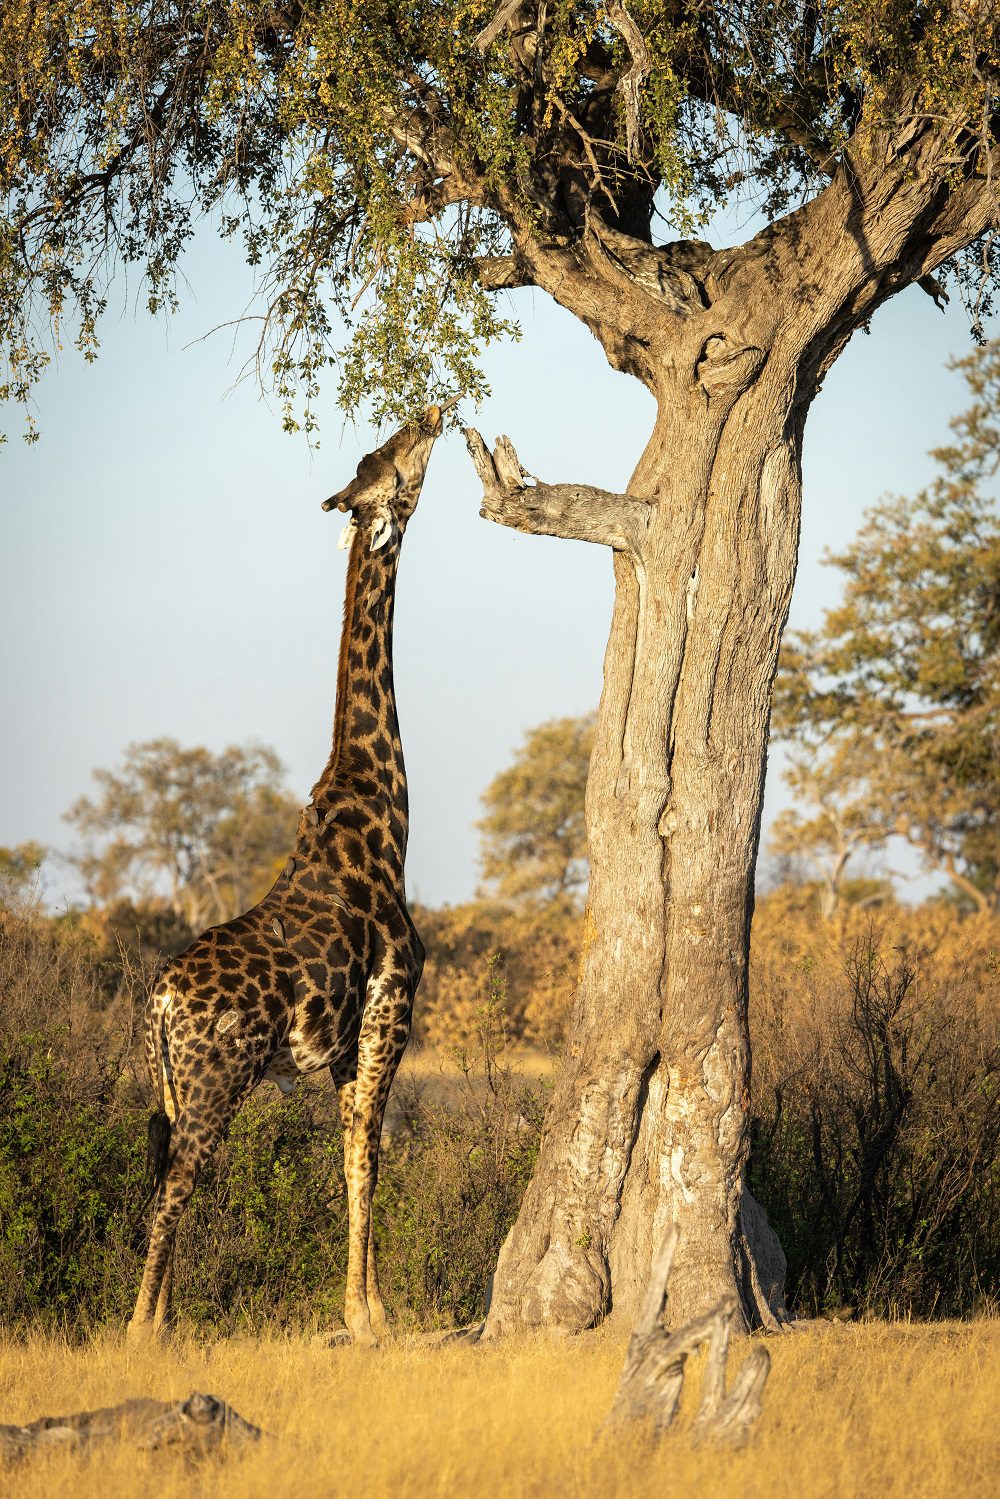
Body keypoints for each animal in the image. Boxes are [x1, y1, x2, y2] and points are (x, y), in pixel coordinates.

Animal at [127, 406, 447, 1347]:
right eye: (395, 462)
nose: (430, 410)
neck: (384, 814)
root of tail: (157, 1004)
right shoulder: (388, 1016)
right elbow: (367, 1157)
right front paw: (368, 1316)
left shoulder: (343, 1049)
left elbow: (354, 1157)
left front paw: (366, 1308)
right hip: (214, 1080)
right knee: (171, 1190)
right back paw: (142, 1330)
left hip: (173, 1087)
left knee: (162, 1176)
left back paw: (161, 1320)